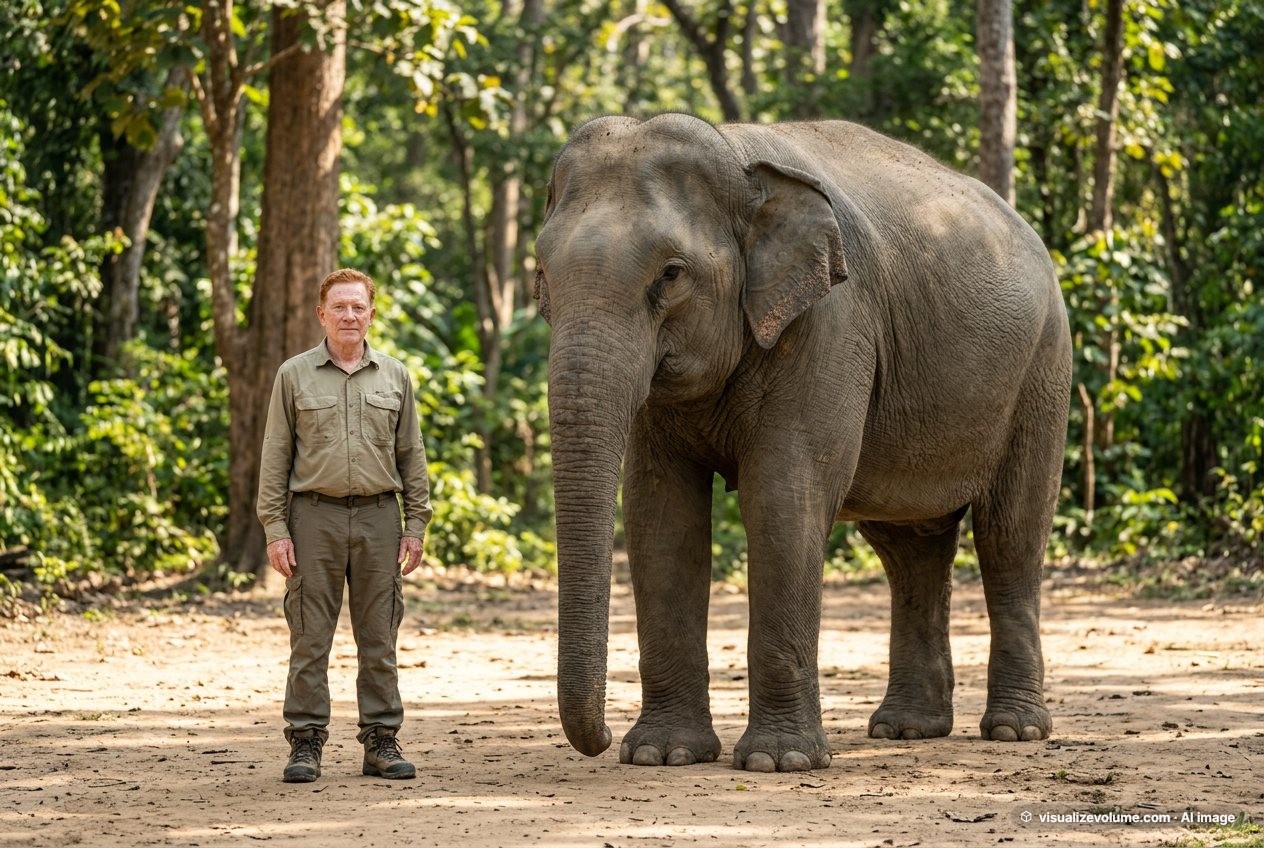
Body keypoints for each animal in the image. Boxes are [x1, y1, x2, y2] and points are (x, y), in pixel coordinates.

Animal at [533, 113, 1072, 773]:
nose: (601, 739)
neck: (738, 156)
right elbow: (661, 513)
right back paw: (906, 729)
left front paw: (777, 762)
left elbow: (783, 497)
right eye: (541, 275)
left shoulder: (831, 321)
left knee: (1010, 534)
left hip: (1042, 370)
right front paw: (663, 754)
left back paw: (1015, 731)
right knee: (911, 550)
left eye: (671, 274)